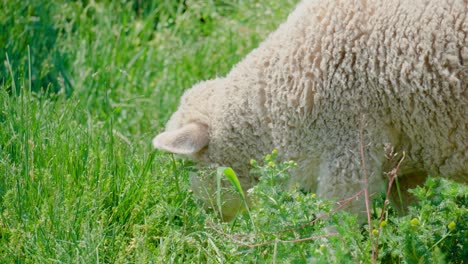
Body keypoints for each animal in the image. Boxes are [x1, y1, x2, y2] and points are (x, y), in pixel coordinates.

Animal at [152, 0, 466, 220]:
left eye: (190, 166)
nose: (209, 218)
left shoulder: (347, 150)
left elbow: (337, 224)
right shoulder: (403, 161)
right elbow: (406, 215)